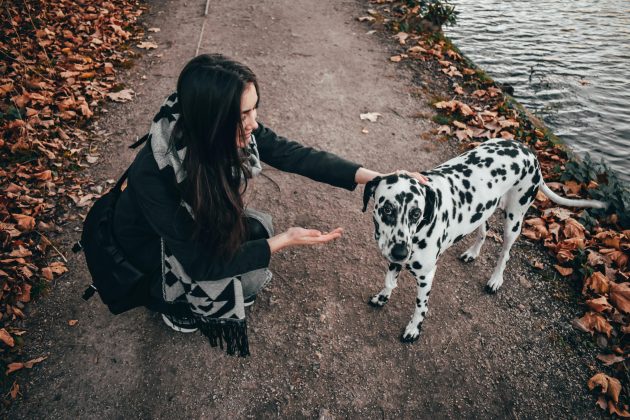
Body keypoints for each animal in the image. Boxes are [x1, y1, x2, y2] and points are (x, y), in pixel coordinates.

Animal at [362, 139, 608, 342]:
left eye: (416, 213)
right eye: (387, 209)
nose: (401, 252)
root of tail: (530, 153)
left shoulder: (426, 276)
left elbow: (420, 307)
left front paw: (414, 329)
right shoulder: (394, 258)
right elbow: (389, 281)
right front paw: (383, 296)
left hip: (514, 221)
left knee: (505, 253)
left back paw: (496, 279)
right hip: (482, 211)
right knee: (484, 231)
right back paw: (472, 253)